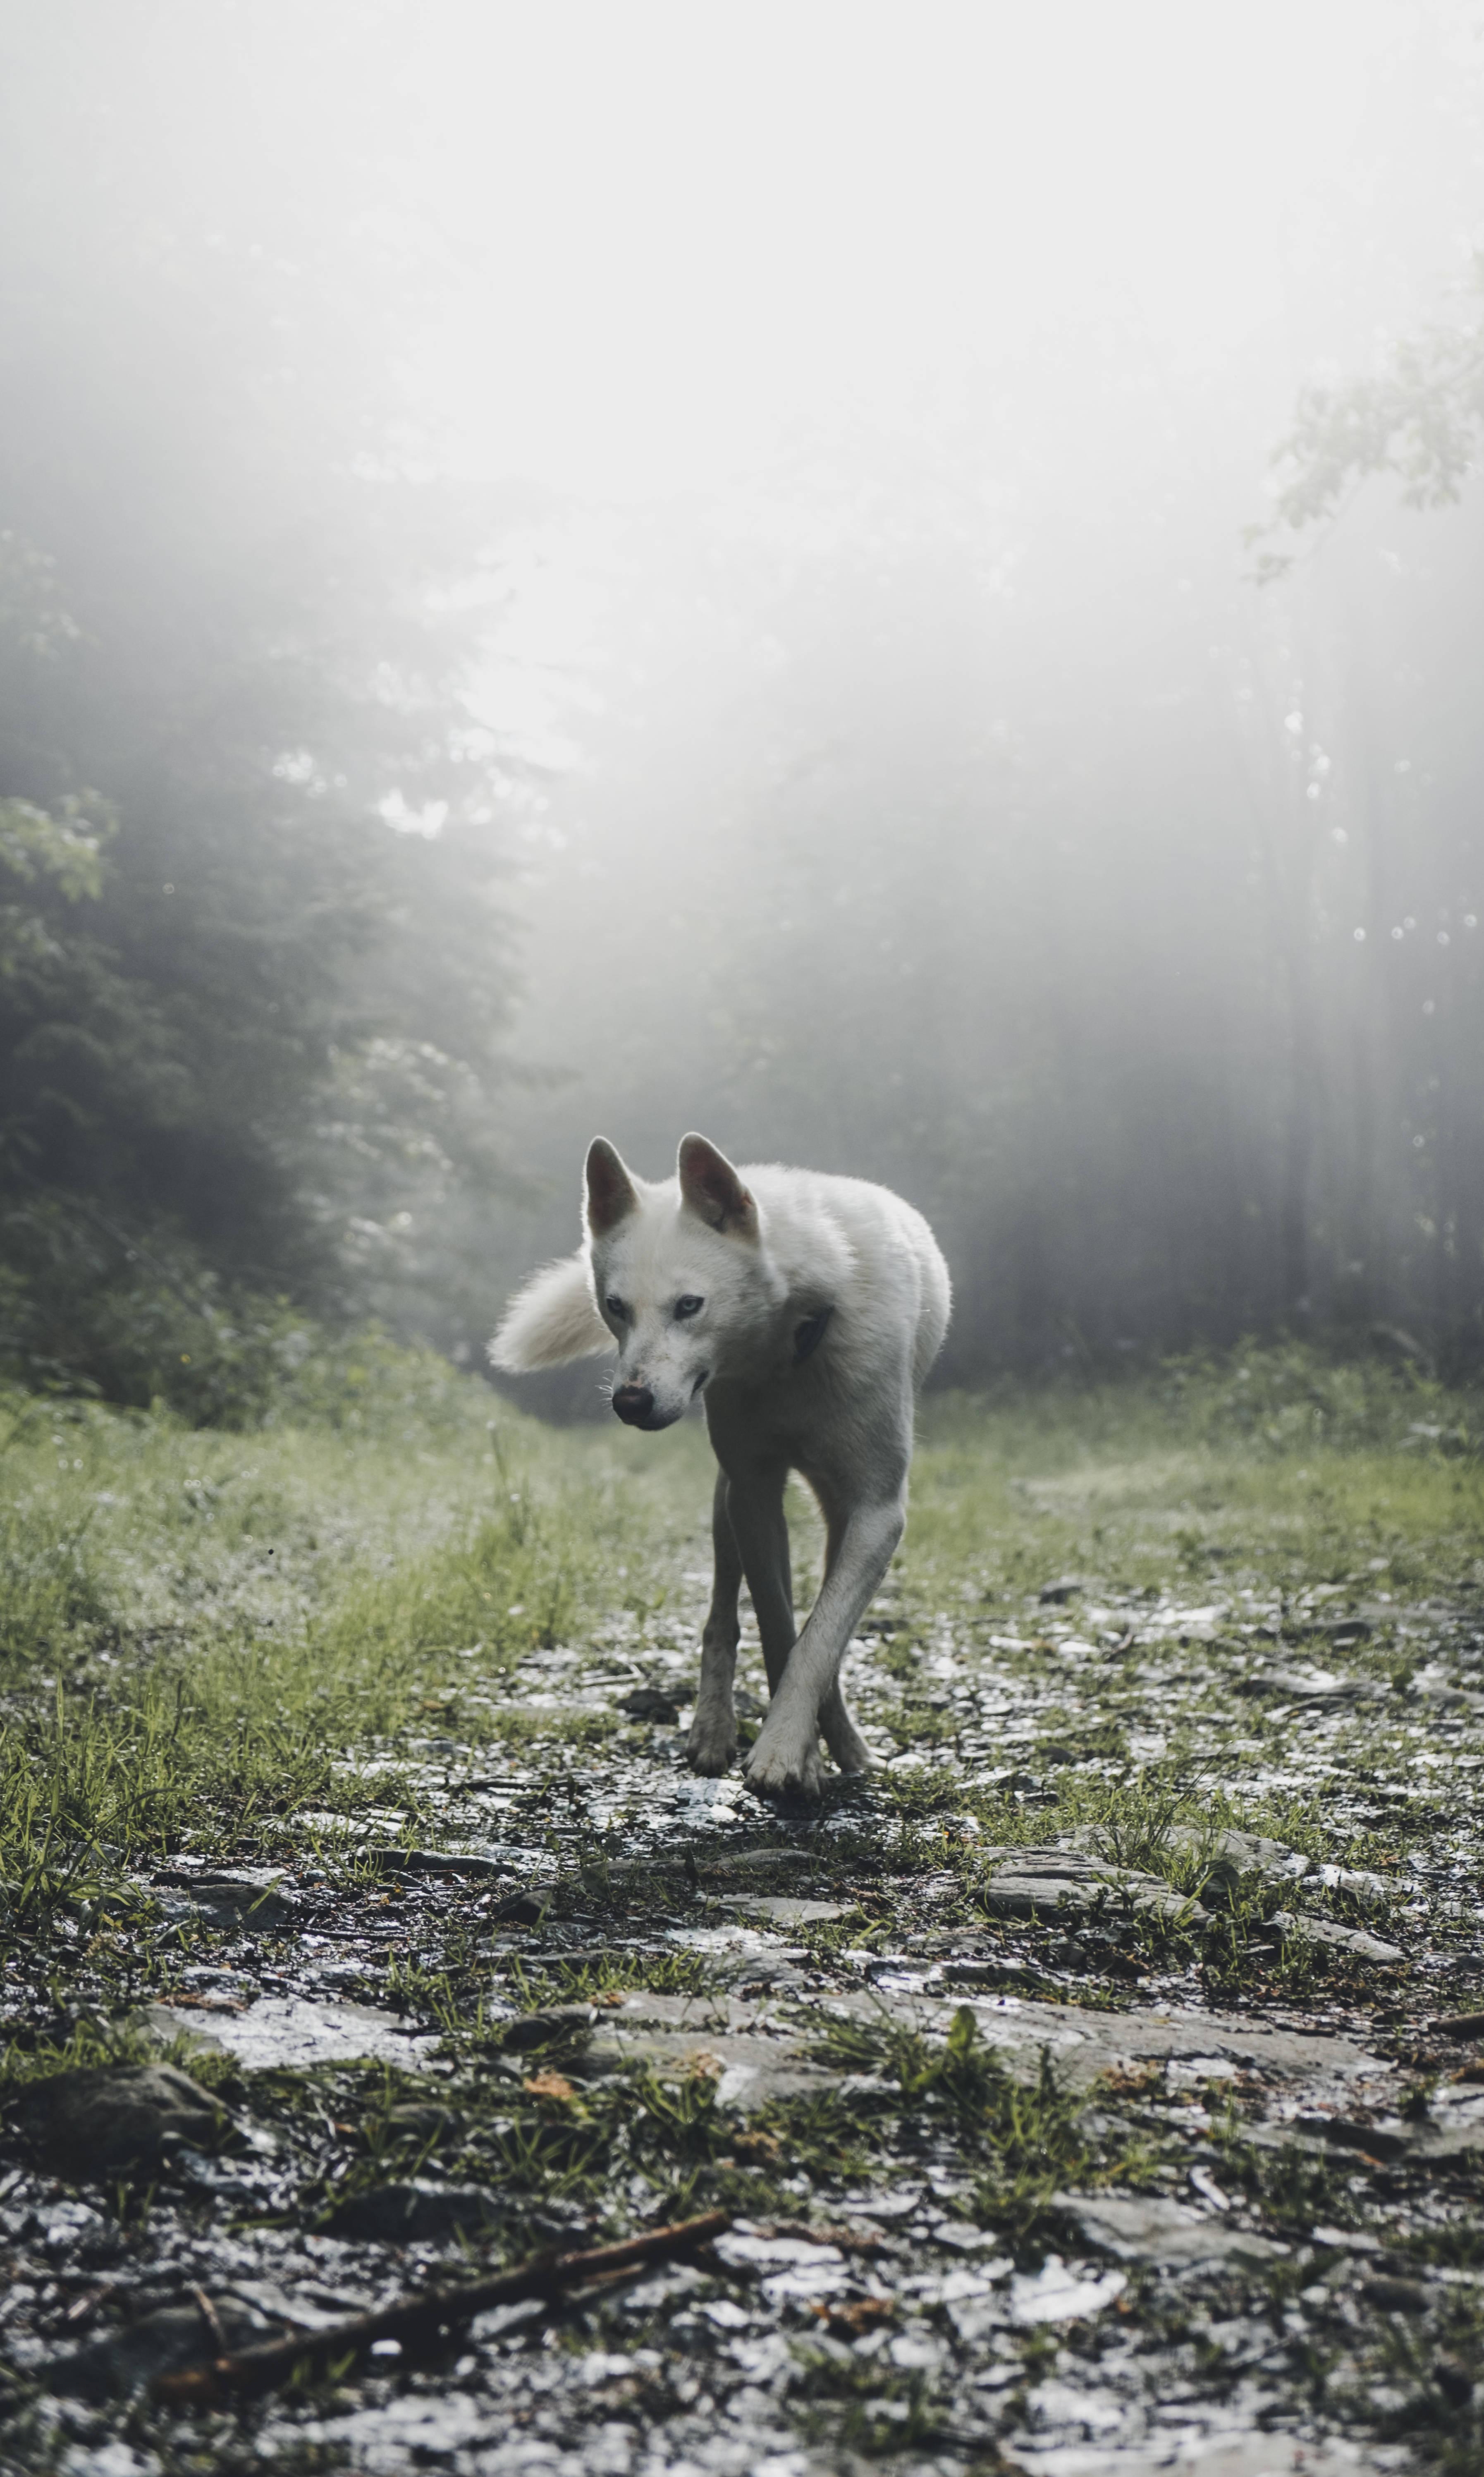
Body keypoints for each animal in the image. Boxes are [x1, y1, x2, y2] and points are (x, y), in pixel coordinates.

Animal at [490, 1134, 950, 1800]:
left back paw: (847, 1744)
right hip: (725, 1502)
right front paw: (799, 1753)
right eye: (616, 1307)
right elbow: (780, 1631)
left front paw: (791, 1748)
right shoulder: (753, 1496)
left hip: (830, 1514)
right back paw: (714, 1730)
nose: (630, 1402)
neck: (791, 1347)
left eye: (690, 1306)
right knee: (721, 1617)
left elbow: (819, 1638)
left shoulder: (877, 1513)